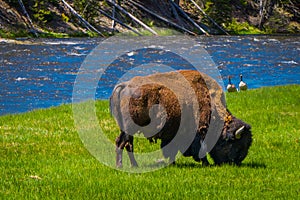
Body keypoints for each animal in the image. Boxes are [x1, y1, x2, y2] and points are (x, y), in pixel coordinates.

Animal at [109, 70, 251, 167]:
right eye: (237, 145)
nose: (236, 162)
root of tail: (125, 85)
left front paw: (172, 163)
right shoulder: (199, 131)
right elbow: (200, 148)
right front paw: (205, 163)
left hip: (126, 130)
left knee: (124, 143)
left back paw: (132, 165)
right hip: (130, 129)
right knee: (123, 143)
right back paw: (123, 165)